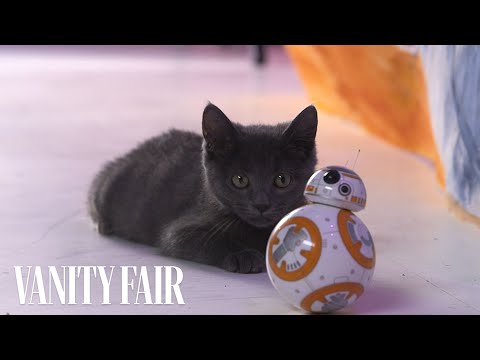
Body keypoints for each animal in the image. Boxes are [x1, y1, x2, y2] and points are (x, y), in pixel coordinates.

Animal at [88, 103, 316, 272]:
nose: (261, 205)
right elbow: (211, 240)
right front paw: (243, 255)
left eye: (282, 180)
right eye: (239, 180)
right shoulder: (177, 233)